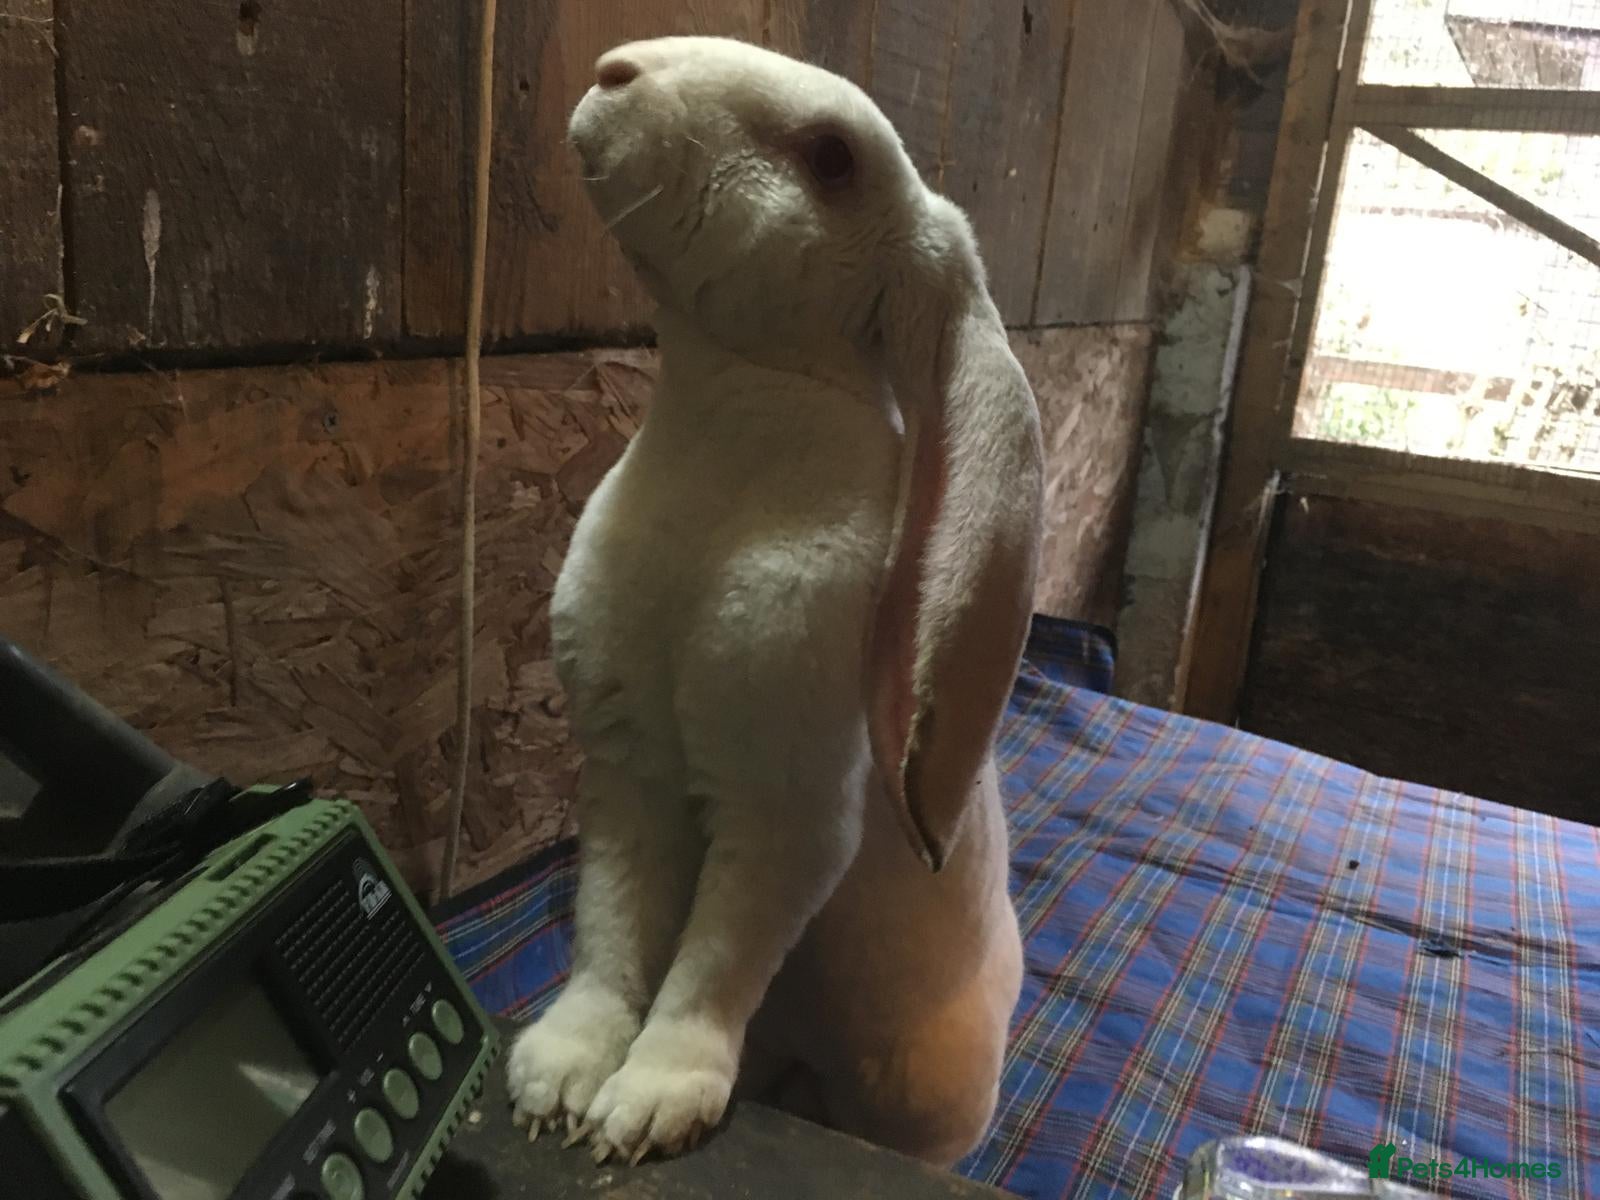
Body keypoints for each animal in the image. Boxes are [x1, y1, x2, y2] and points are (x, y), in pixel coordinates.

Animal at [506, 35, 1043, 1169]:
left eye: (832, 159)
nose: (611, 69)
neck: (730, 421)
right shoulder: (626, 777)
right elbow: (611, 931)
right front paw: (558, 1080)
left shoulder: (781, 814)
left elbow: (714, 959)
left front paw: (647, 1106)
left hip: (922, 1090)